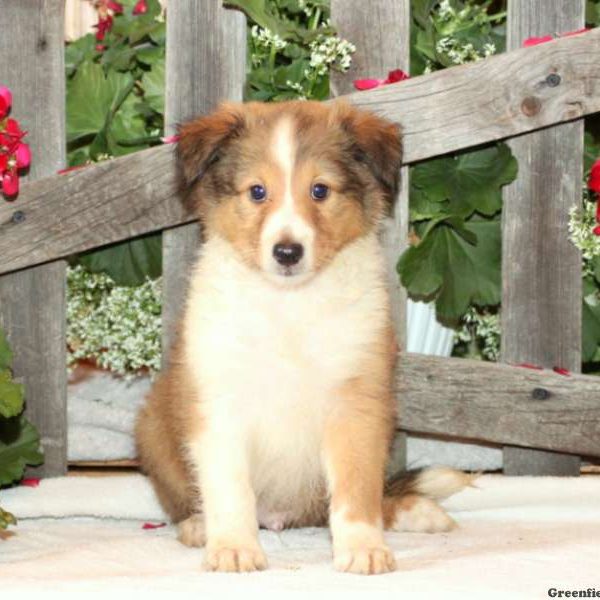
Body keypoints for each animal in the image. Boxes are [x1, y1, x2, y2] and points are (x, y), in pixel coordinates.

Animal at [136, 99, 468, 576]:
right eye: (257, 191)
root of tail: (283, 516)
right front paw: (234, 548)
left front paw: (363, 549)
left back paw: (416, 512)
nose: (288, 253)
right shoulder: (219, 399)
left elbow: (355, 489)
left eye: (320, 190)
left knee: (369, 497)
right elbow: (230, 485)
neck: (289, 306)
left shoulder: (357, 403)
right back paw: (199, 525)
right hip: (153, 428)